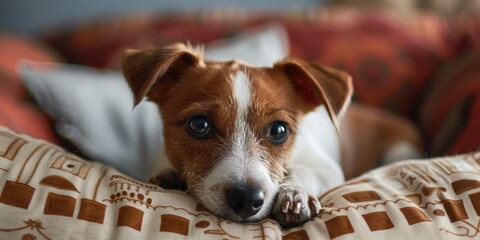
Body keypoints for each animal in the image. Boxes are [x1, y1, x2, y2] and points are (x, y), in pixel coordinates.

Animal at [121, 42, 424, 227]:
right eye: (199, 125)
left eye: (279, 130)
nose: (246, 200)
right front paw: (167, 174)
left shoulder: (325, 166)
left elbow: (304, 171)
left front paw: (295, 194)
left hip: (400, 149)